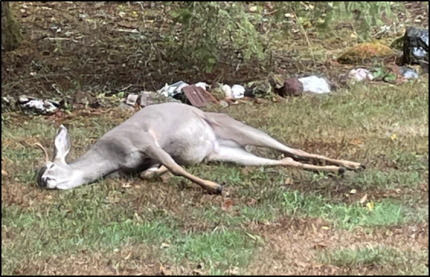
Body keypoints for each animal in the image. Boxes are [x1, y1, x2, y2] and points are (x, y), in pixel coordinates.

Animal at [35, 100, 364, 193]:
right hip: (229, 153)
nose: (44, 182)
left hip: (236, 126)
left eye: (50, 167)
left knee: (293, 150)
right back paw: (338, 170)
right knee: (284, 160)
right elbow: (155, 171)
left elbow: (175, 166)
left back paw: (352, 164)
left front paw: (214, 187)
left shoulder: (145, 140)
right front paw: (154, 174)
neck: (111, 157)